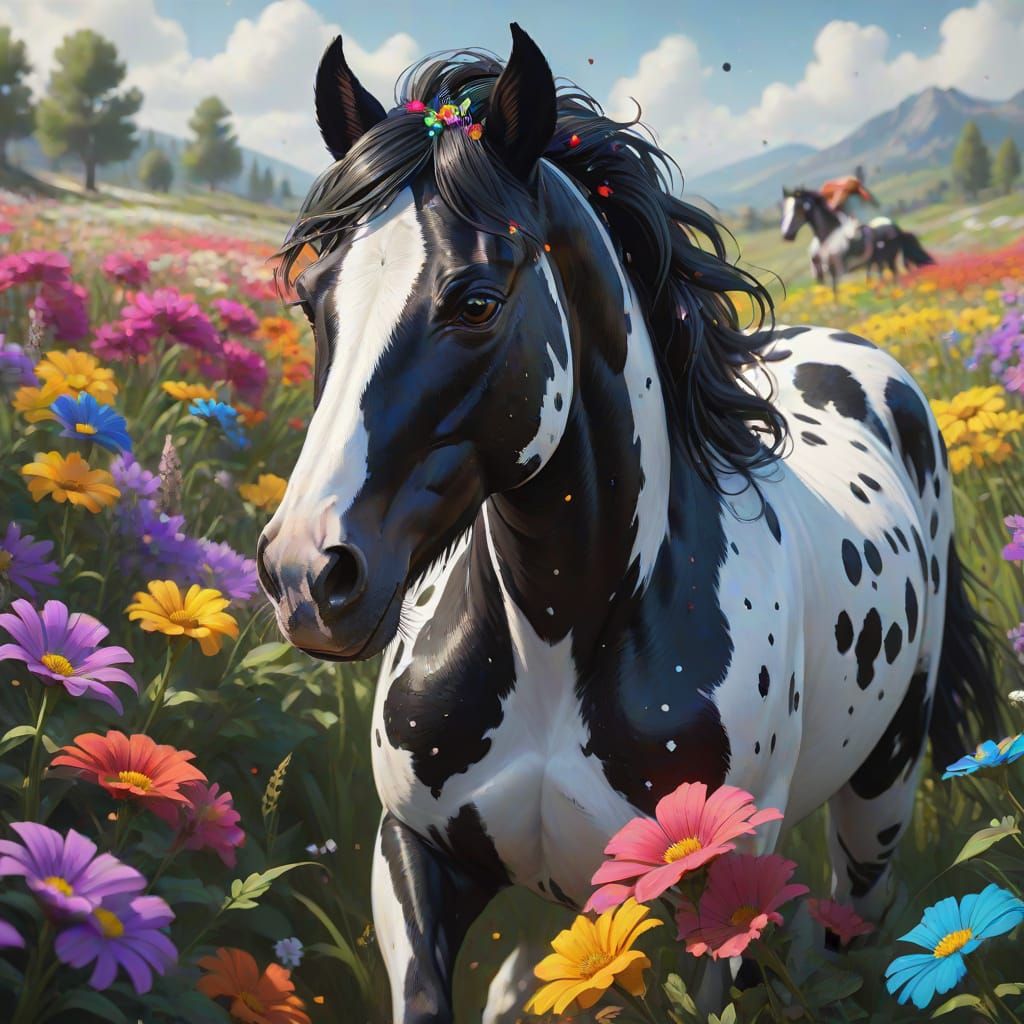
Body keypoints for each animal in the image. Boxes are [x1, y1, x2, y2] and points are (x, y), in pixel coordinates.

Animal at [781, 187, 934, 293]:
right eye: (785, 209)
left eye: (797, 208)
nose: (786, 235)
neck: (830, 237)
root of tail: (895, 227)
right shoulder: (831, 272)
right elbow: (835, 293)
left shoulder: (840, 270)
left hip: (889, 259)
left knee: (893, 274)